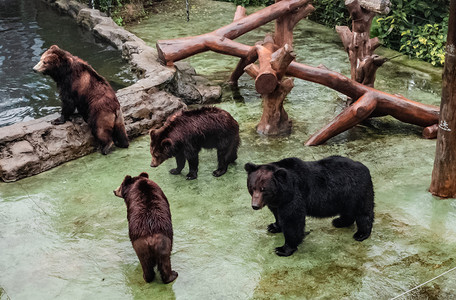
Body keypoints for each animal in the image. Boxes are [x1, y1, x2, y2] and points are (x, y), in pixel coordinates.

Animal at [244, 156, 376, 256]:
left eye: (263, 189)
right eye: (252, 187)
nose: (255, 205)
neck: (282, 193)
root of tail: (366, 168)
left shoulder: (294, 196)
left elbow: (293, 220)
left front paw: (283, 249)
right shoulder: (278, 201)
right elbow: (277, 213)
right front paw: (273, 226)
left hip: (357, 190)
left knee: (363, 212)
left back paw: (361, 234)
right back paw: (339, 221)